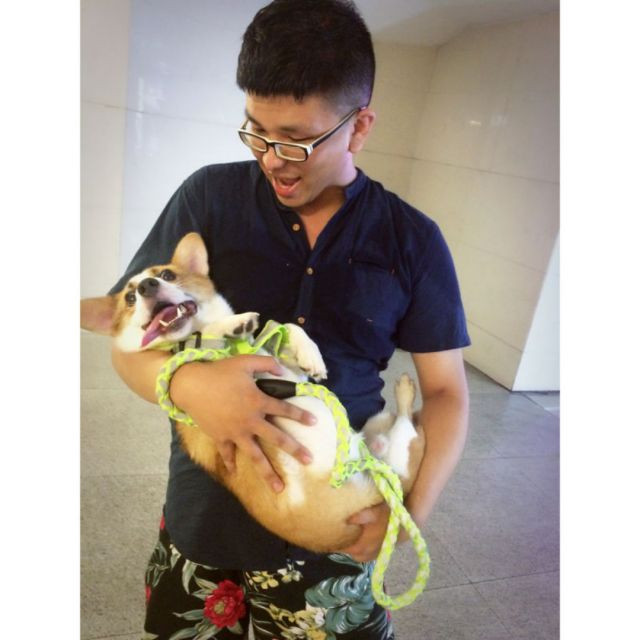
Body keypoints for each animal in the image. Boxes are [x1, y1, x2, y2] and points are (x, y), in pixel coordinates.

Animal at [81, 232, 425, 552]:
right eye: (129, 298)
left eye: (167, 274)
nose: (146, 286)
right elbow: (199, 341)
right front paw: (234, 324)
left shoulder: (288, 370)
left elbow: (288, 328)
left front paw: (311, 355)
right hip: (396, 457)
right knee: (407, 426)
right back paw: (406, 390)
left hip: (380, 438)